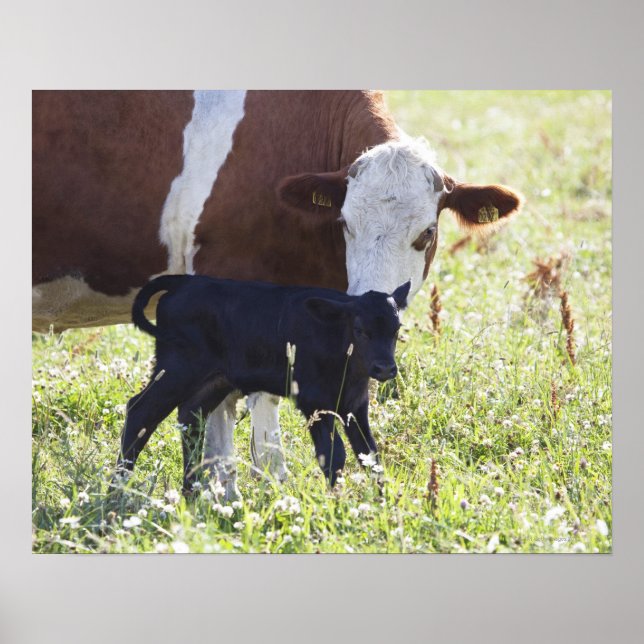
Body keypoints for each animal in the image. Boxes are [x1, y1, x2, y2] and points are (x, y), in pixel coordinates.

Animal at [119, 274, 410, 492]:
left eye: (396, 329)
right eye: (360, 330)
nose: (385, 368)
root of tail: (184, 282)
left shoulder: (355, 406)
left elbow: (369, 454)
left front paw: (381, 501)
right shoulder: (313, 402)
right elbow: (333, 455)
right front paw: (335, 502)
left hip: (215, 380)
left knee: (191, 417)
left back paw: (191, 490)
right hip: (177, 369)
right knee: (140, 411)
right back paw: (118, 488)